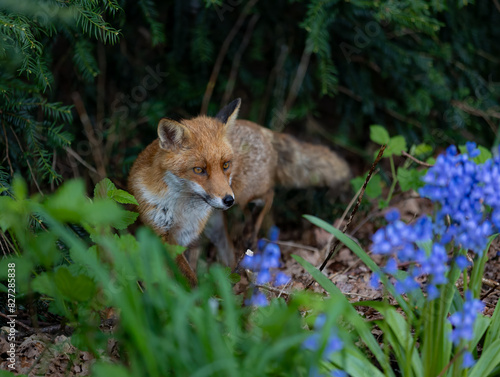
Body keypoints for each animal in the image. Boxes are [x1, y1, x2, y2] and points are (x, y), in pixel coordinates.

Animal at [127, 98, 350, 284]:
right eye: (199, 170)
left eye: (225, 165)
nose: (227, 201)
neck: (181, 206)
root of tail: (261, 129)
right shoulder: (162, 234)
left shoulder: (185, 235)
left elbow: (189, 277)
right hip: (217, 220)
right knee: (228, 249)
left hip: (243, 193)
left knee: (269, 194)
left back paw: (252, 228)